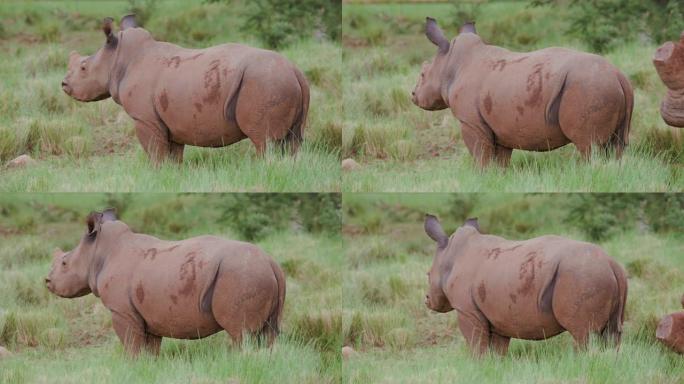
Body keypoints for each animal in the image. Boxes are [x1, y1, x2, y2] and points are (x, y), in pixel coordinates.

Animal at [45, 208, 286, 356]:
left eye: (64, 263)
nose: (47, 281)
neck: (99, 252)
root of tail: (271, 262)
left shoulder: (122, 311)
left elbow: (131, 346)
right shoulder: (149, 314)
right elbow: (150, 349)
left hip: (242, 274)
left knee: (240, 333)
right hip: (260, 274)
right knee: (269, 332)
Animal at [61, 16, 308, 165]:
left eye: (83, 68)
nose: (64, 84)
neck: (120, 58)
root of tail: (294, 70)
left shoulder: (145, 119)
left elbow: (155, 154)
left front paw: (157, 174)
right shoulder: (172, 121)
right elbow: (174, 156)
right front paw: (172, 176)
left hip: (265, 82)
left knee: (264, 141)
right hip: (285, 82)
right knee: (293, 140)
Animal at [408, 18, 632, 167]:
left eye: (423, 74)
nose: (413, 95)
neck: (451, 63)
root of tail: (618, 75)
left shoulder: (471, 122)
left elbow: (480, 156)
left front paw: (482, 175)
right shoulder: (501, 126)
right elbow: (501, 159)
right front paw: (497, 178)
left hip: (588, 87)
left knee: (588, 145)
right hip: (606, 86)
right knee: (616, 145)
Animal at [424, 214, 628, 356]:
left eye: (427, 274)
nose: (426, 300)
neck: (450, 255)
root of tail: (611, 263)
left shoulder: (467, 311)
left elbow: (476, 344)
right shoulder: (498, 316)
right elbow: (498, 350)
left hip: (582, 275)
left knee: (583, 334)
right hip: (604, 275)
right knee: (612, 334)